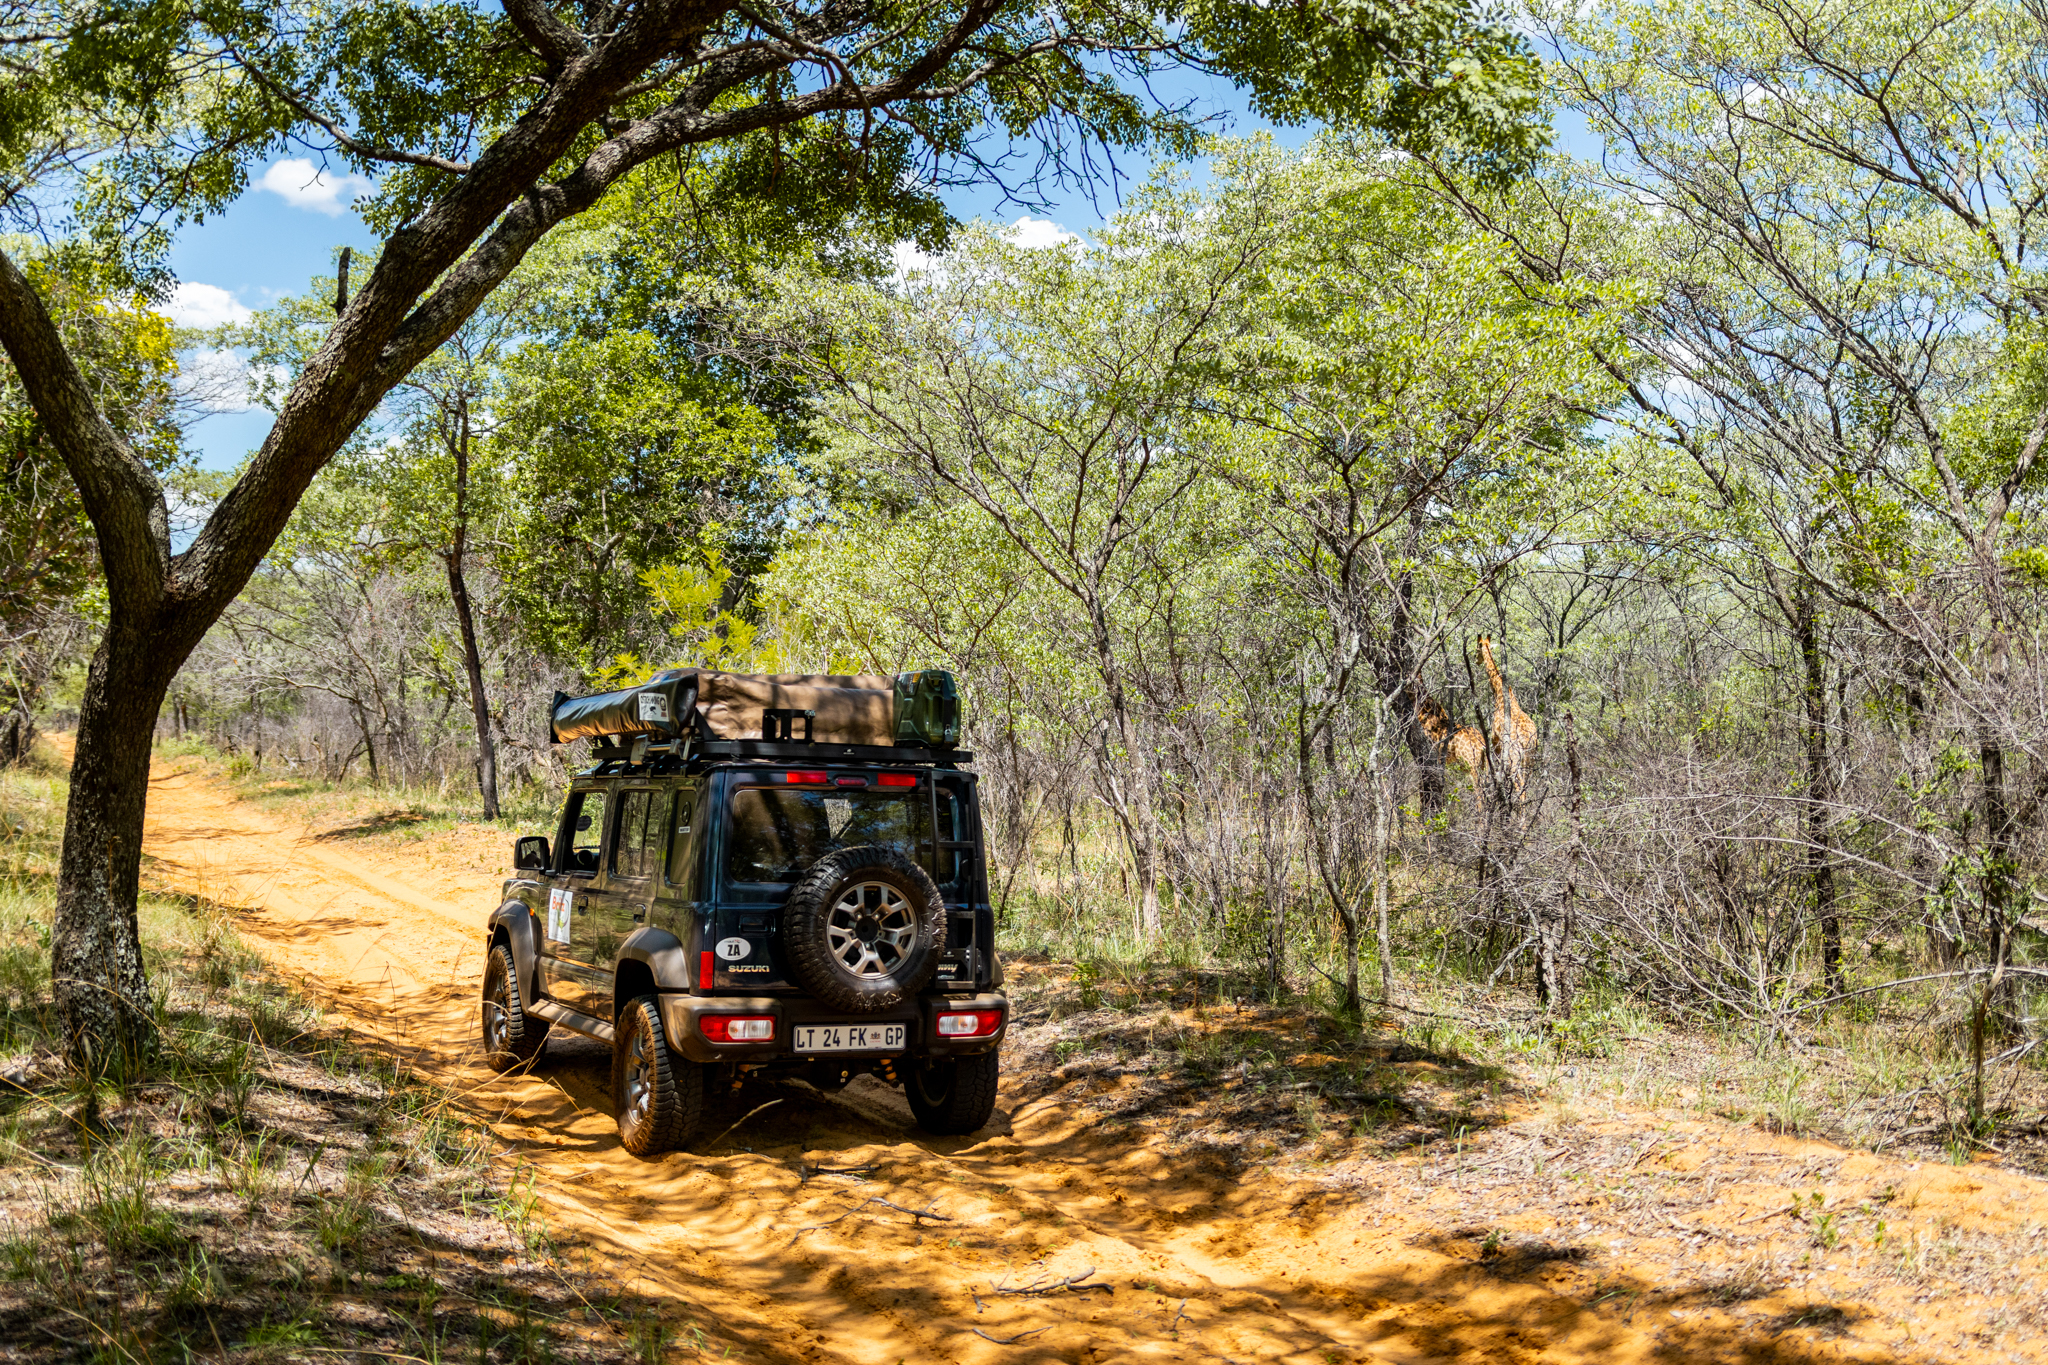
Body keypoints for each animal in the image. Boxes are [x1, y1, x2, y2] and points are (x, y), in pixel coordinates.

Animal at [1478, 635, 1537, 802]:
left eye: (1477, 648)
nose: (1476, 660)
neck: (1499, 694)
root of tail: (1528, 739)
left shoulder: (1495, 741)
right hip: (1529, 758)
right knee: (1527, 785)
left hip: (1515, 758)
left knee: (1520, 787)